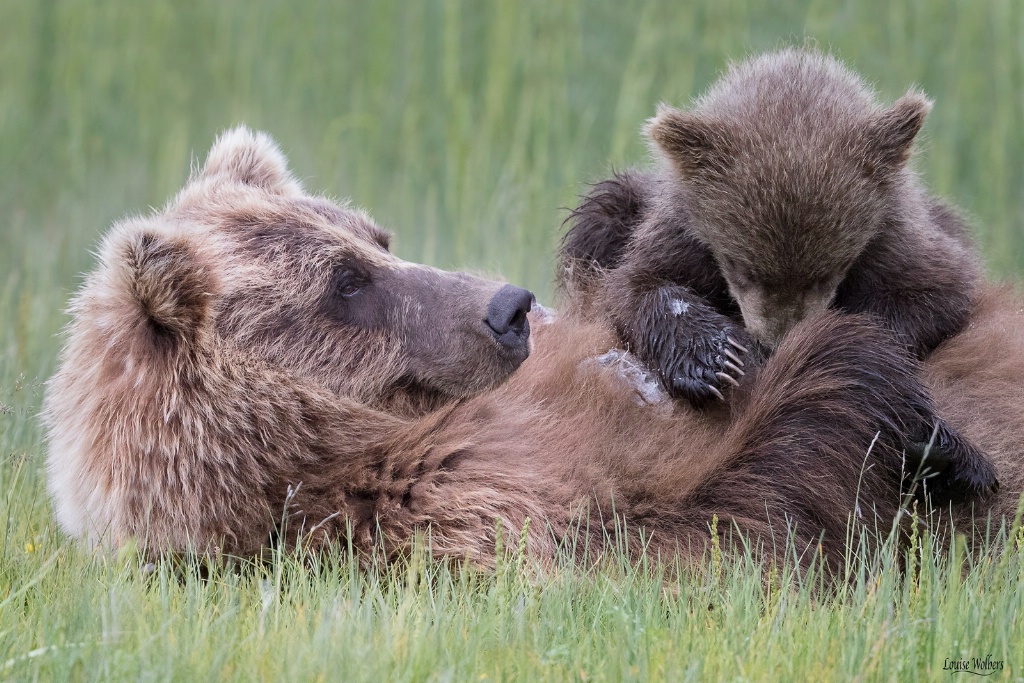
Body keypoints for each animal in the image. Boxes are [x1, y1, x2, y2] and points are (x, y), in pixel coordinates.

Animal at [44, 126, 1024, 565]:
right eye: (343, 284)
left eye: (374, 236)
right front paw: (920, 420)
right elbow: (757, 496)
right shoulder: (473, 500)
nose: (510, 306)